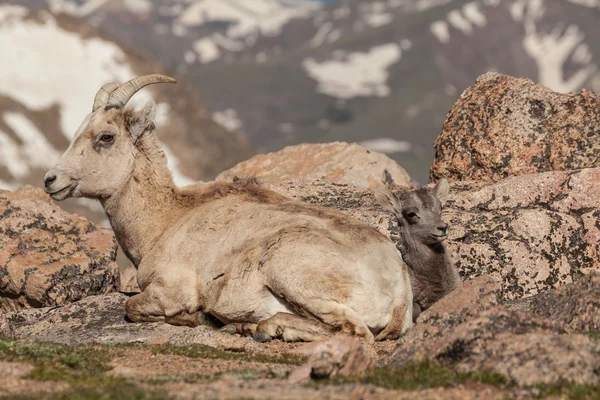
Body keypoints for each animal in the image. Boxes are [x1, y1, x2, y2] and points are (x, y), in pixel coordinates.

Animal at [44, 76, 412, 344]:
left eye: (106, 137)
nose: (51, 180)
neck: (166, 221)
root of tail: (399, 291)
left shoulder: (170, 290)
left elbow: (133, 306)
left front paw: (200, 317)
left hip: (291, 270)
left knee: (353, 331)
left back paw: (261, 328)